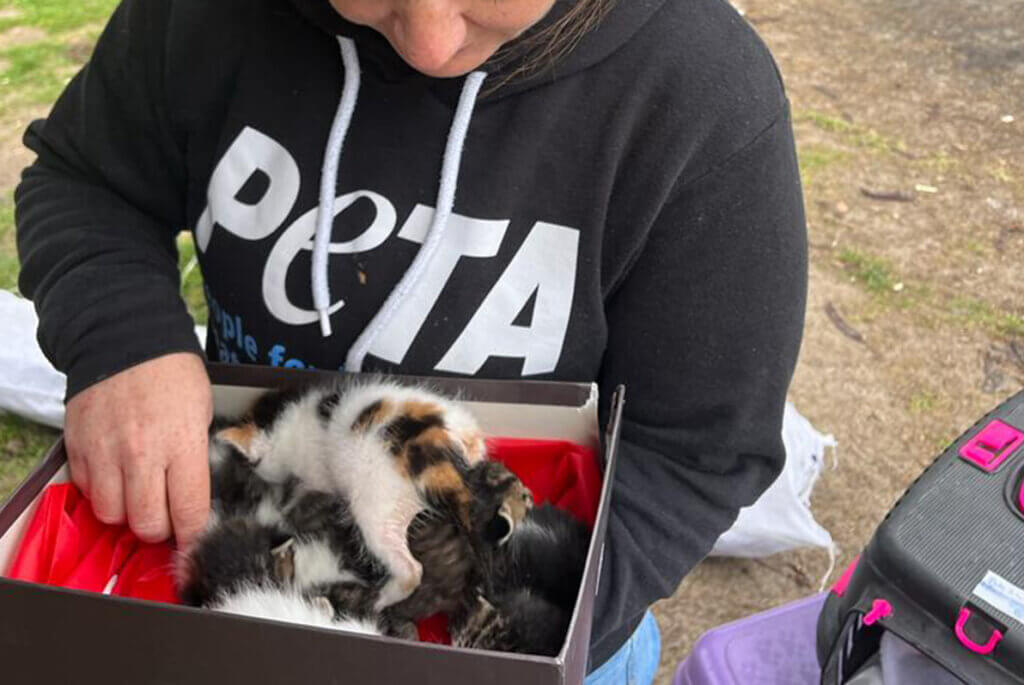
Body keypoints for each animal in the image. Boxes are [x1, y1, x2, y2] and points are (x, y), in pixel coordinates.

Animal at [211, 378, 487, 610]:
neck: (286, 421)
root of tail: (434, 440)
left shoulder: (315, 477)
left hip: (377, 503)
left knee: (411, 570)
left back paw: (380, 600)